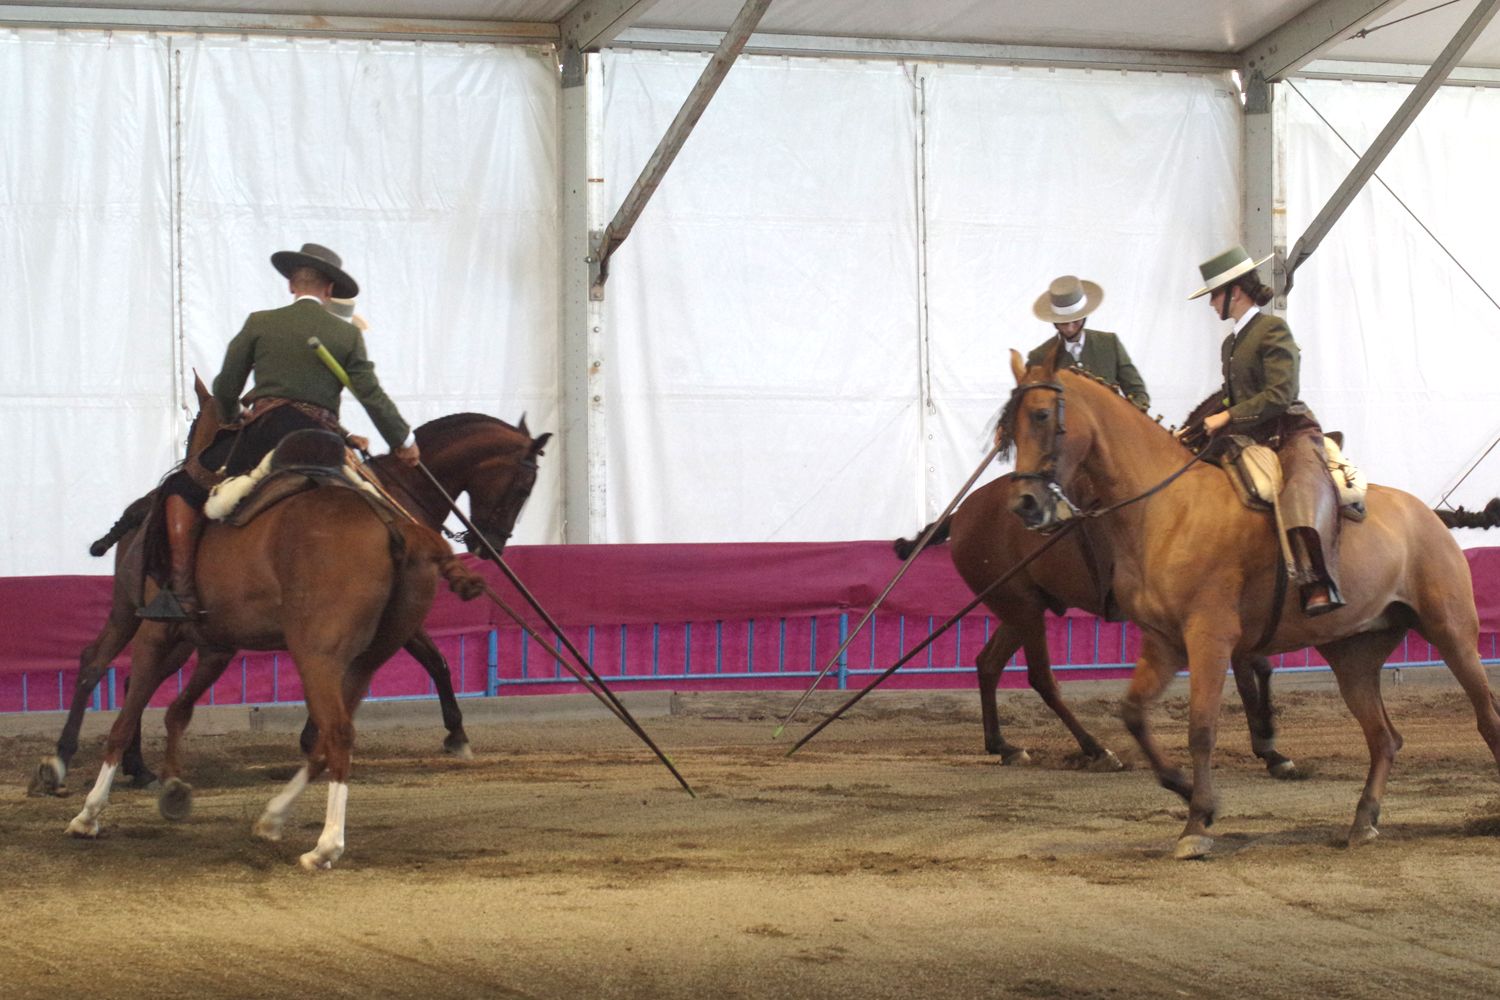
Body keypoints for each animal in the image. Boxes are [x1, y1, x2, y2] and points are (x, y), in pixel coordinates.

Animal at [29, 410, 552, 803]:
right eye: (524, 487)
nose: (491, 547)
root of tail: (143, 509)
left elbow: (418, 664)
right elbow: (436, 661)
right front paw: (456, 734)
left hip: (179, 629)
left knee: (128, 674)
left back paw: (130, 766)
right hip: (132, 611)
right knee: (97, 663)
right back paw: (65, 762)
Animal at [894, 479, 1296, 779]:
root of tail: (962, 512)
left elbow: (1258, 669)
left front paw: (1270, 747)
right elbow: (1251, 672)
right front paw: (1269, 748)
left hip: (1021, 607)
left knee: (988, 664)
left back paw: (1004, 746)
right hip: (1022, 607)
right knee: (1040, 677)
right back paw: (1095, 749)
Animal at [996, 352, 1500, 863]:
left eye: (1042, 415)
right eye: (1009, 428)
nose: (1025, 505)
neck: (1168, 509)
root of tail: (1429, 515)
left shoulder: (1209, 639)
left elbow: (1202, 729)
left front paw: (1196, 823)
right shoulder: (1162, 643)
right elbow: (1134, 714)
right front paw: (1186, 790)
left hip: (1453, 635)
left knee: (1486, 719)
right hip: (1354, 657)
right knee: (1384, 738)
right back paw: (1363, 822)